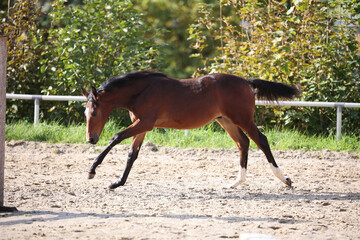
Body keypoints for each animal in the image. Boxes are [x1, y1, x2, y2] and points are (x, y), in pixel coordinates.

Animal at [81, 70, 298, 190]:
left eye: (94, 113)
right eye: (85, 113)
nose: (91, 139)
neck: (141, 91)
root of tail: (245, 81)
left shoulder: (145, 123)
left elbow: (116, 137)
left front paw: (92, 171)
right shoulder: (141, 127)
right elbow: (131, 155)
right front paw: (117, 183)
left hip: (242, 119)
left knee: (261, 140)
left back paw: (285, 179)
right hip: (226, 121)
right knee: (243, 143)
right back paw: (236, 182)